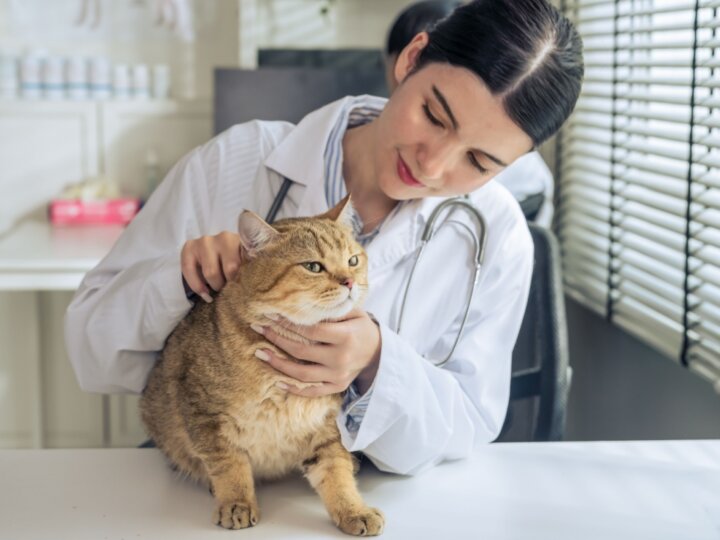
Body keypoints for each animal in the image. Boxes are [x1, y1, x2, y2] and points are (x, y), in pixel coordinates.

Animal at [141, 197, 386, 536]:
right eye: (313, 266)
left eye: (352, 260)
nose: (350, 281)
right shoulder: (205, 415)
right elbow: (229, 465)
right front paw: (236, 503)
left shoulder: (325, 425)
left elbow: (336, 471)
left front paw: (353, 509)